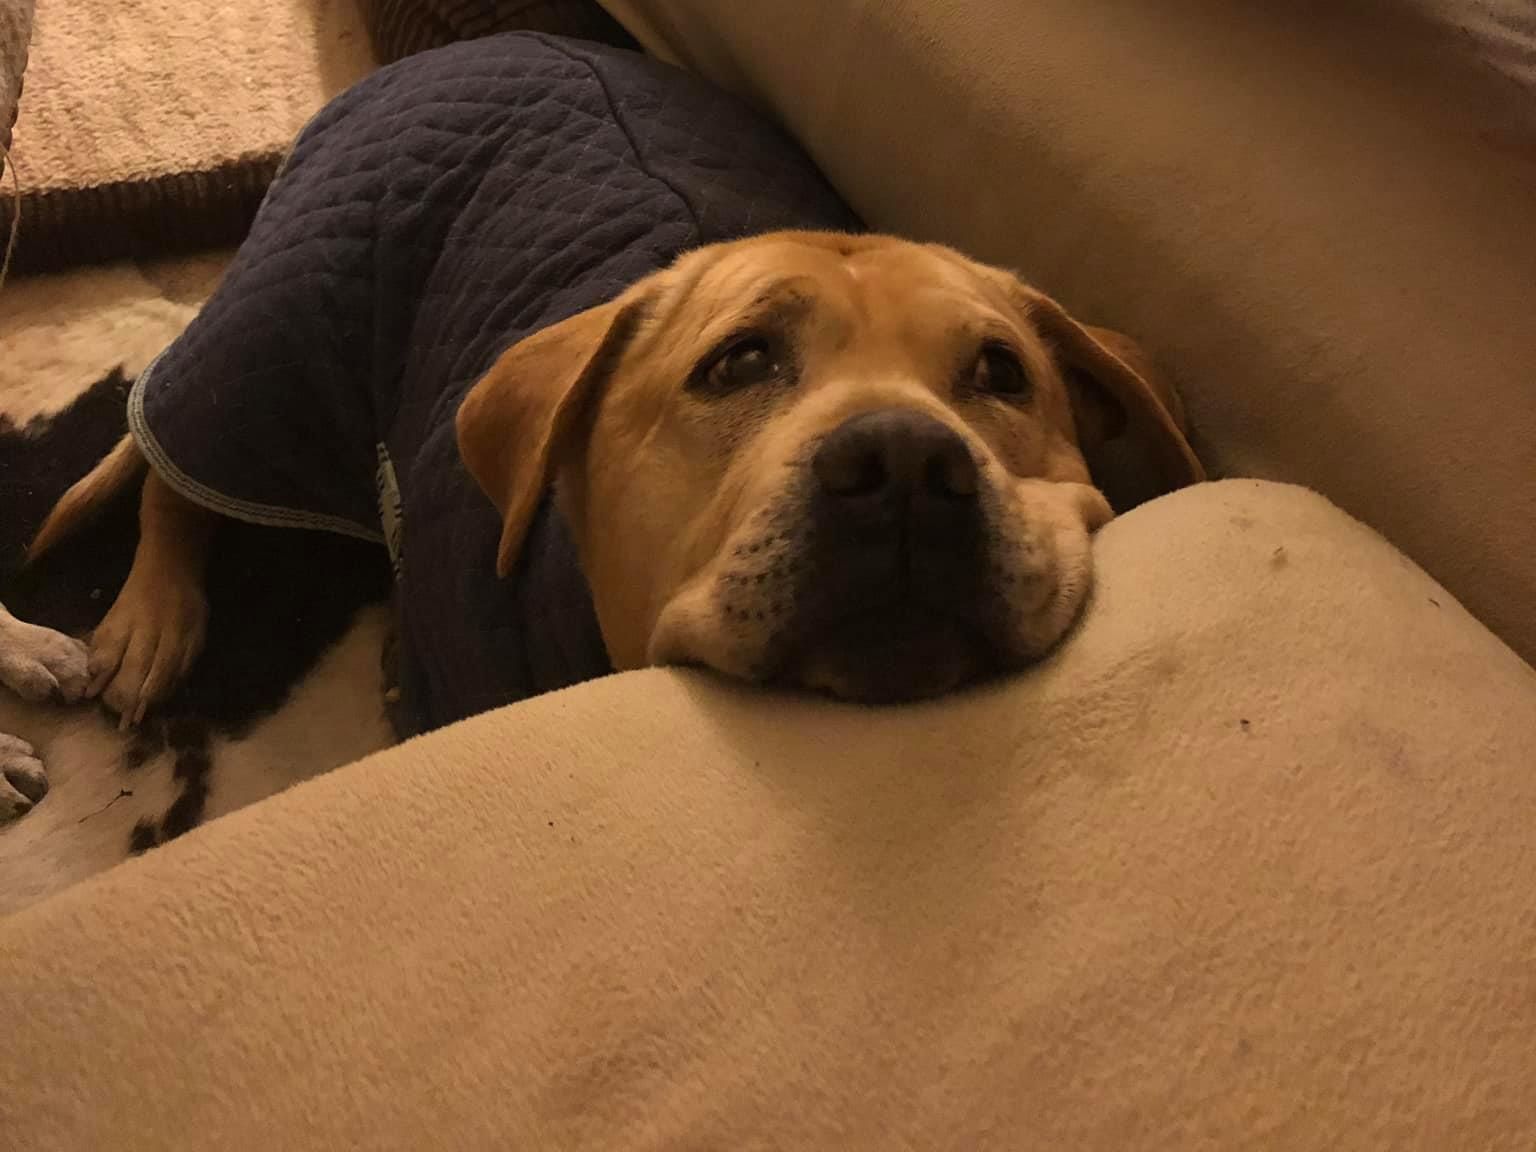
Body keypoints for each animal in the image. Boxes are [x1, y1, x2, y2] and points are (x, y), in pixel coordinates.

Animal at [30, 232, 1202, 723]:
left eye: (1002, 373)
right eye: (739, 362)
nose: (906, 464)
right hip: (280, 347)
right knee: (173, 460)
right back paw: (151, 617)